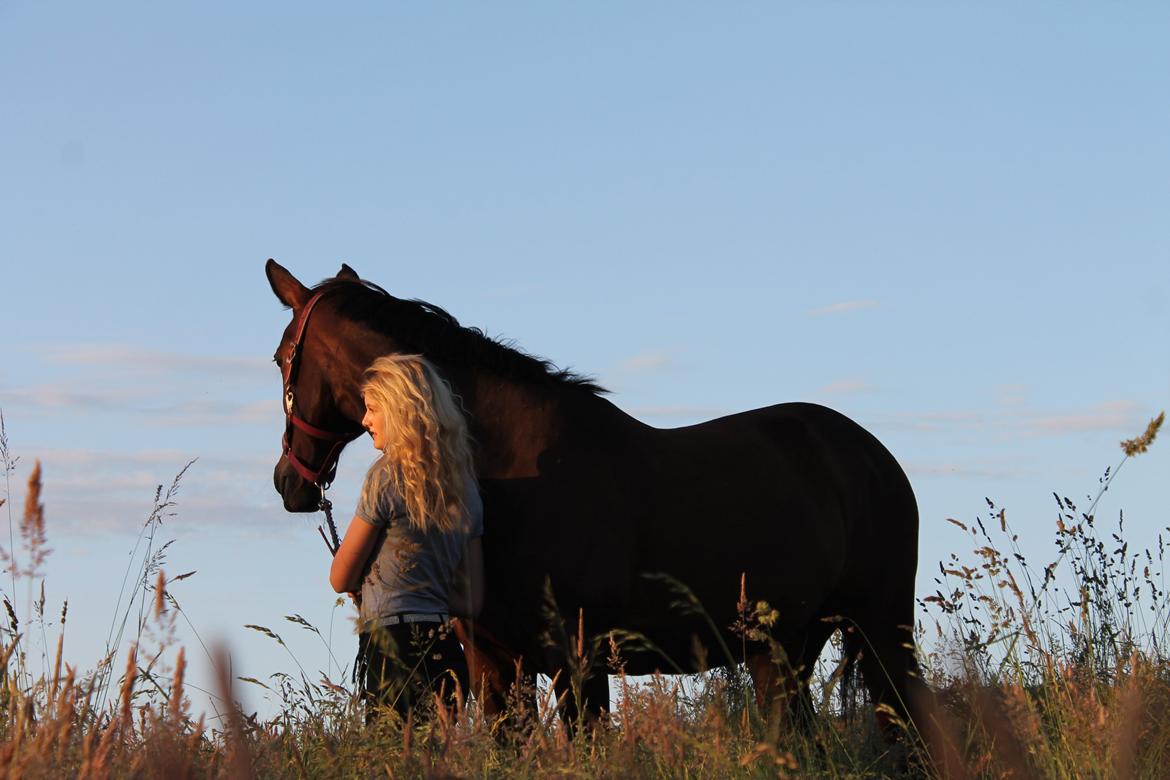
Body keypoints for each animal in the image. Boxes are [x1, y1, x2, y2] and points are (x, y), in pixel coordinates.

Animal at [265, 260, 931, 734]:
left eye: (279, 357)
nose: (288, 481)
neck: (509, 467)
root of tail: (873, 455)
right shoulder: (495, 662)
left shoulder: (577, 659)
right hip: (787, 647)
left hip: (880, 628)